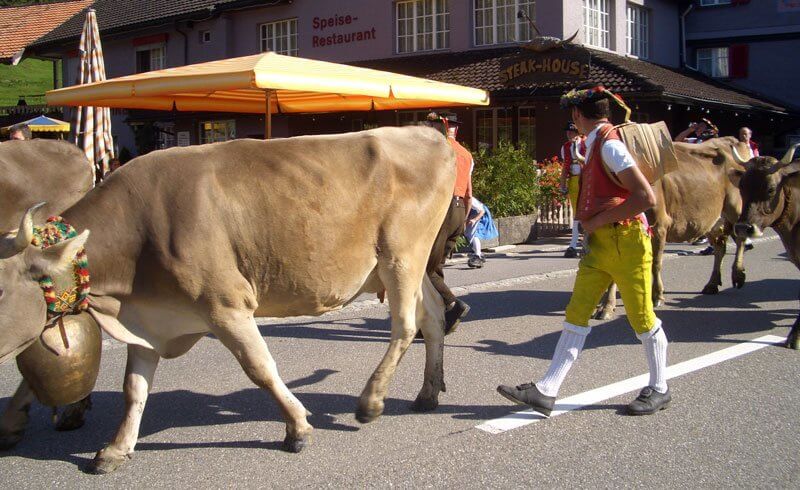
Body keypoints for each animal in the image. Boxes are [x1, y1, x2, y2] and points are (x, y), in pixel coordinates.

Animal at [592, 138, 752, 320]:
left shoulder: (659, 226)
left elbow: (656, 263)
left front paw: (657, 296)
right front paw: (606, 306)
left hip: (735, 209)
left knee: (740, 239)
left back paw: (738, 275)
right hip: (711, 219)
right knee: (720, 248)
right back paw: (712, 284)